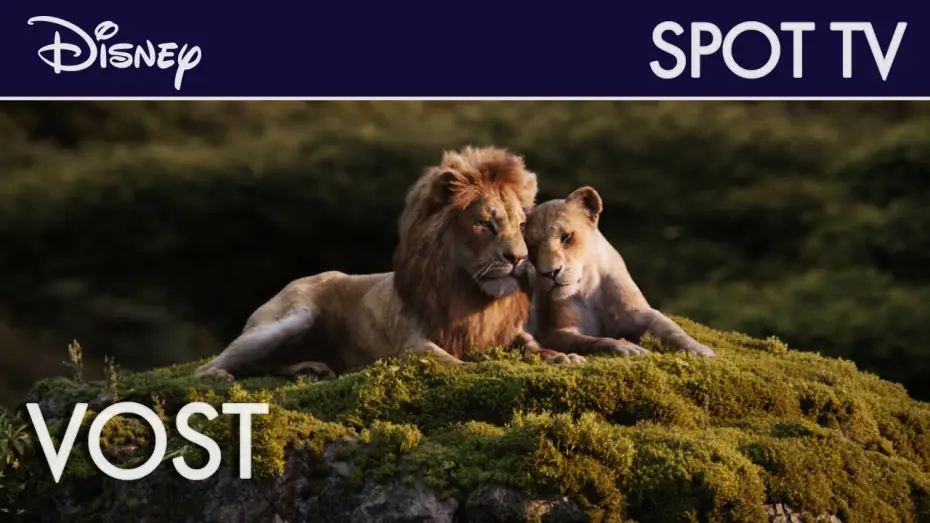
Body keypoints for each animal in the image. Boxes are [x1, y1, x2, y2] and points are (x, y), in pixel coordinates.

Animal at [193, 146, 585, 382]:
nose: (518, 259)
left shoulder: (508, 332)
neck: (472, 295)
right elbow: (450, 360)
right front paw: (481, 367)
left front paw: (562, 357)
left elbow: (534, 346)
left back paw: (311, 368)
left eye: (521, 224)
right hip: (294, 315)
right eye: (485, 223)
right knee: (220, 363)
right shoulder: (409, 344)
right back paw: (217, 375)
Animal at [524, 186, 717, 358]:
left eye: (565, 237)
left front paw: (699, 350)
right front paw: (628, 348)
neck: (588, 288)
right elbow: (590, 340)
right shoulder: (555, 332)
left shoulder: (639, 313)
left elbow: (671, 329)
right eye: (532, 247)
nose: (550, 273)